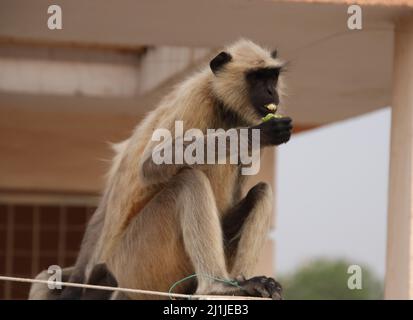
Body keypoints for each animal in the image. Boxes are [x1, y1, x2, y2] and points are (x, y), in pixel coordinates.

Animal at [29, 39, 292, 300]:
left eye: (272, 77)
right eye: (256, 78)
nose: (272, 92)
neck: (223, 105)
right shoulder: (195, 99)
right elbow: (151, 165)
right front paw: (260, 133)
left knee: (262, 191)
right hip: (138, 258)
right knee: (189, 179)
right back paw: (218, 287)